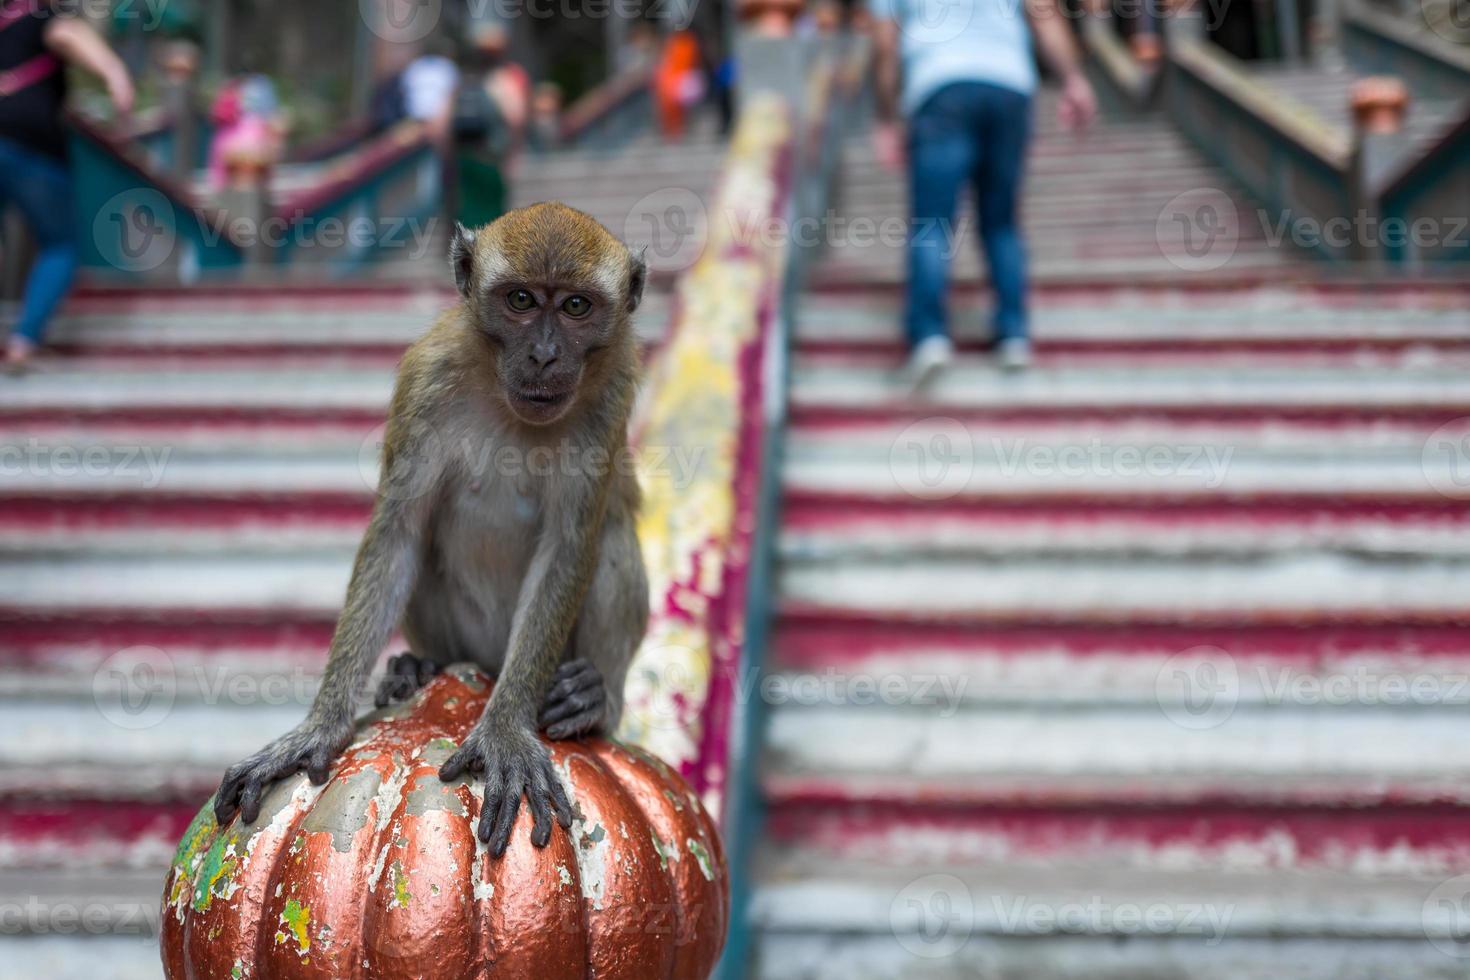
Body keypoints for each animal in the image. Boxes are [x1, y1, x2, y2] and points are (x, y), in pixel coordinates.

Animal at [213, 201, 649, 858]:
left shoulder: (611, 395)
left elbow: (570, 549)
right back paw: (419, 668)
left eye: (576, 306)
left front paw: (505, 728)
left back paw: (594, 700)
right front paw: (319, 727)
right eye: (521, 300)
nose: (545, 354)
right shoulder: (427, 379)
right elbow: (398, 537)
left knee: (613, 539)